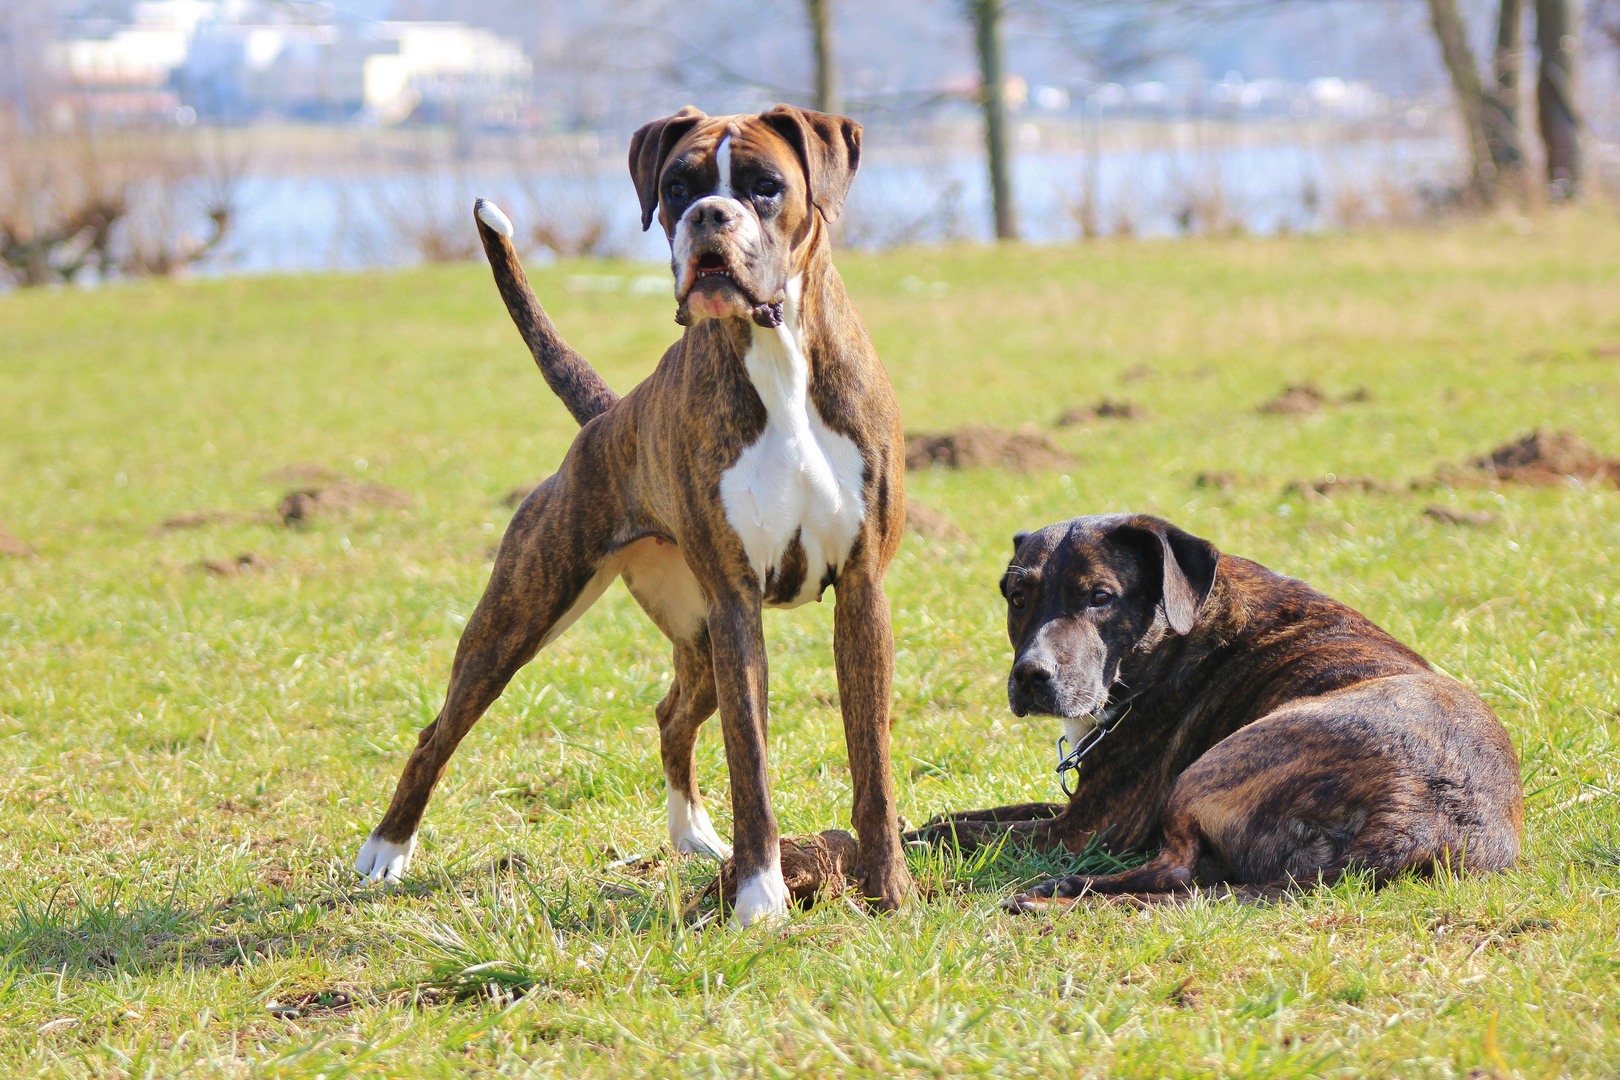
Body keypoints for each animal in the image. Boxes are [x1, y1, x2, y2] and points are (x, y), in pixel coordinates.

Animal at [354, 105, 913, 926]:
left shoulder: (861, 591)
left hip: (696, 635)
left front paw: (889, 892)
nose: (710, 216)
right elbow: (751, 764)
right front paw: (760, 900)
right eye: (676, 187)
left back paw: (695, 838)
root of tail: (606, 417)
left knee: (672, 716)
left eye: (765, 186)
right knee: (438, 732)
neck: (778, 358)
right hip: (521, 617)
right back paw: (387, 852)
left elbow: (870, 759)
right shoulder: (738, 607)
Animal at [907, 514, 1522, 913]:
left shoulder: (1088, 828)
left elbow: (959, 832)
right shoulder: (1079, 807)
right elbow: (963, 817)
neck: (1177, 637)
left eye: (1100, 597)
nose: (1031, 677)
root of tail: (1414, 825)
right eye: (1017, 598)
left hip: (1212, 768)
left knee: (1173, 872)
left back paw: (1054, 893)